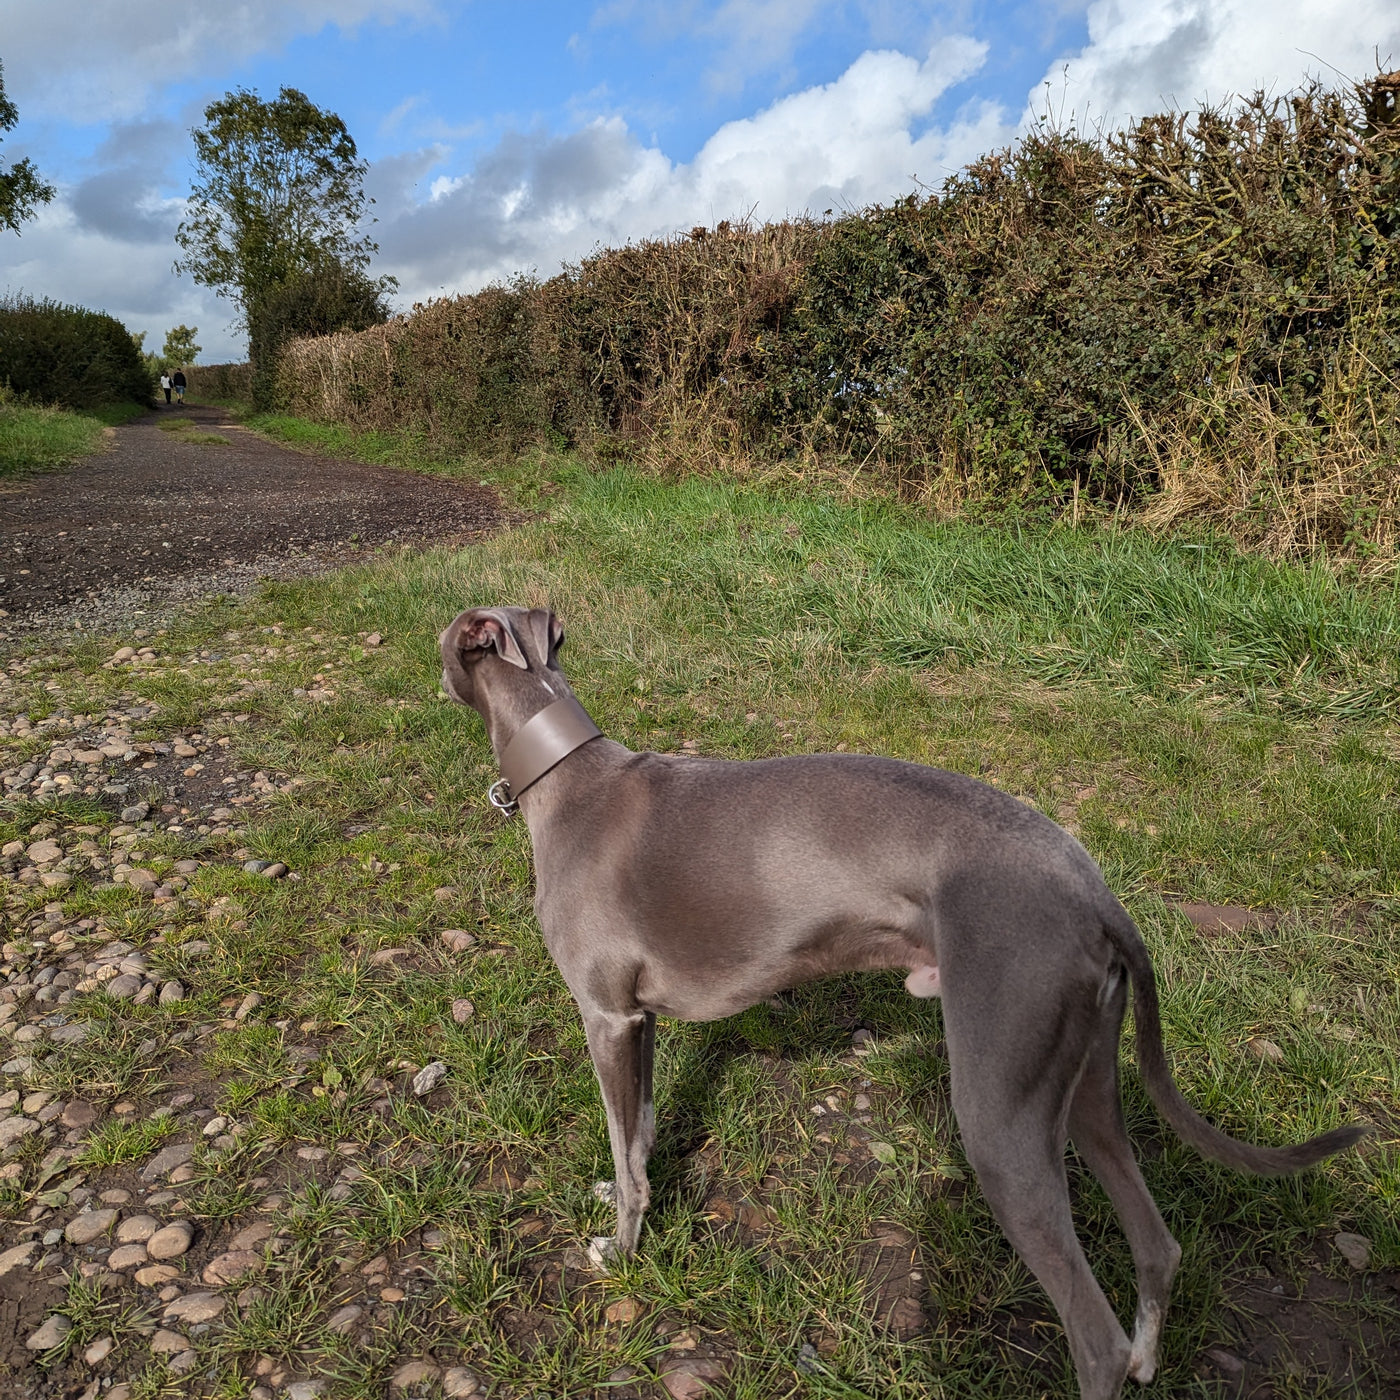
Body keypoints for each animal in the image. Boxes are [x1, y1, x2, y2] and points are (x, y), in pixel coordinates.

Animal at [439, 602, 1366, 1400]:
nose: (427, 661)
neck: (571, 780)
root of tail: (1096, 892)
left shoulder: (606, 1014)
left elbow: (625, 1149)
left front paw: (623, 1251)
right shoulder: (641, 1020)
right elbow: (638, 1131)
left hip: (997, 1116)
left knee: (1091, 1335)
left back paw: (1110, 1351)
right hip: (1087, 1086)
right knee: (1158, 1247)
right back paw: (1146, 1356)